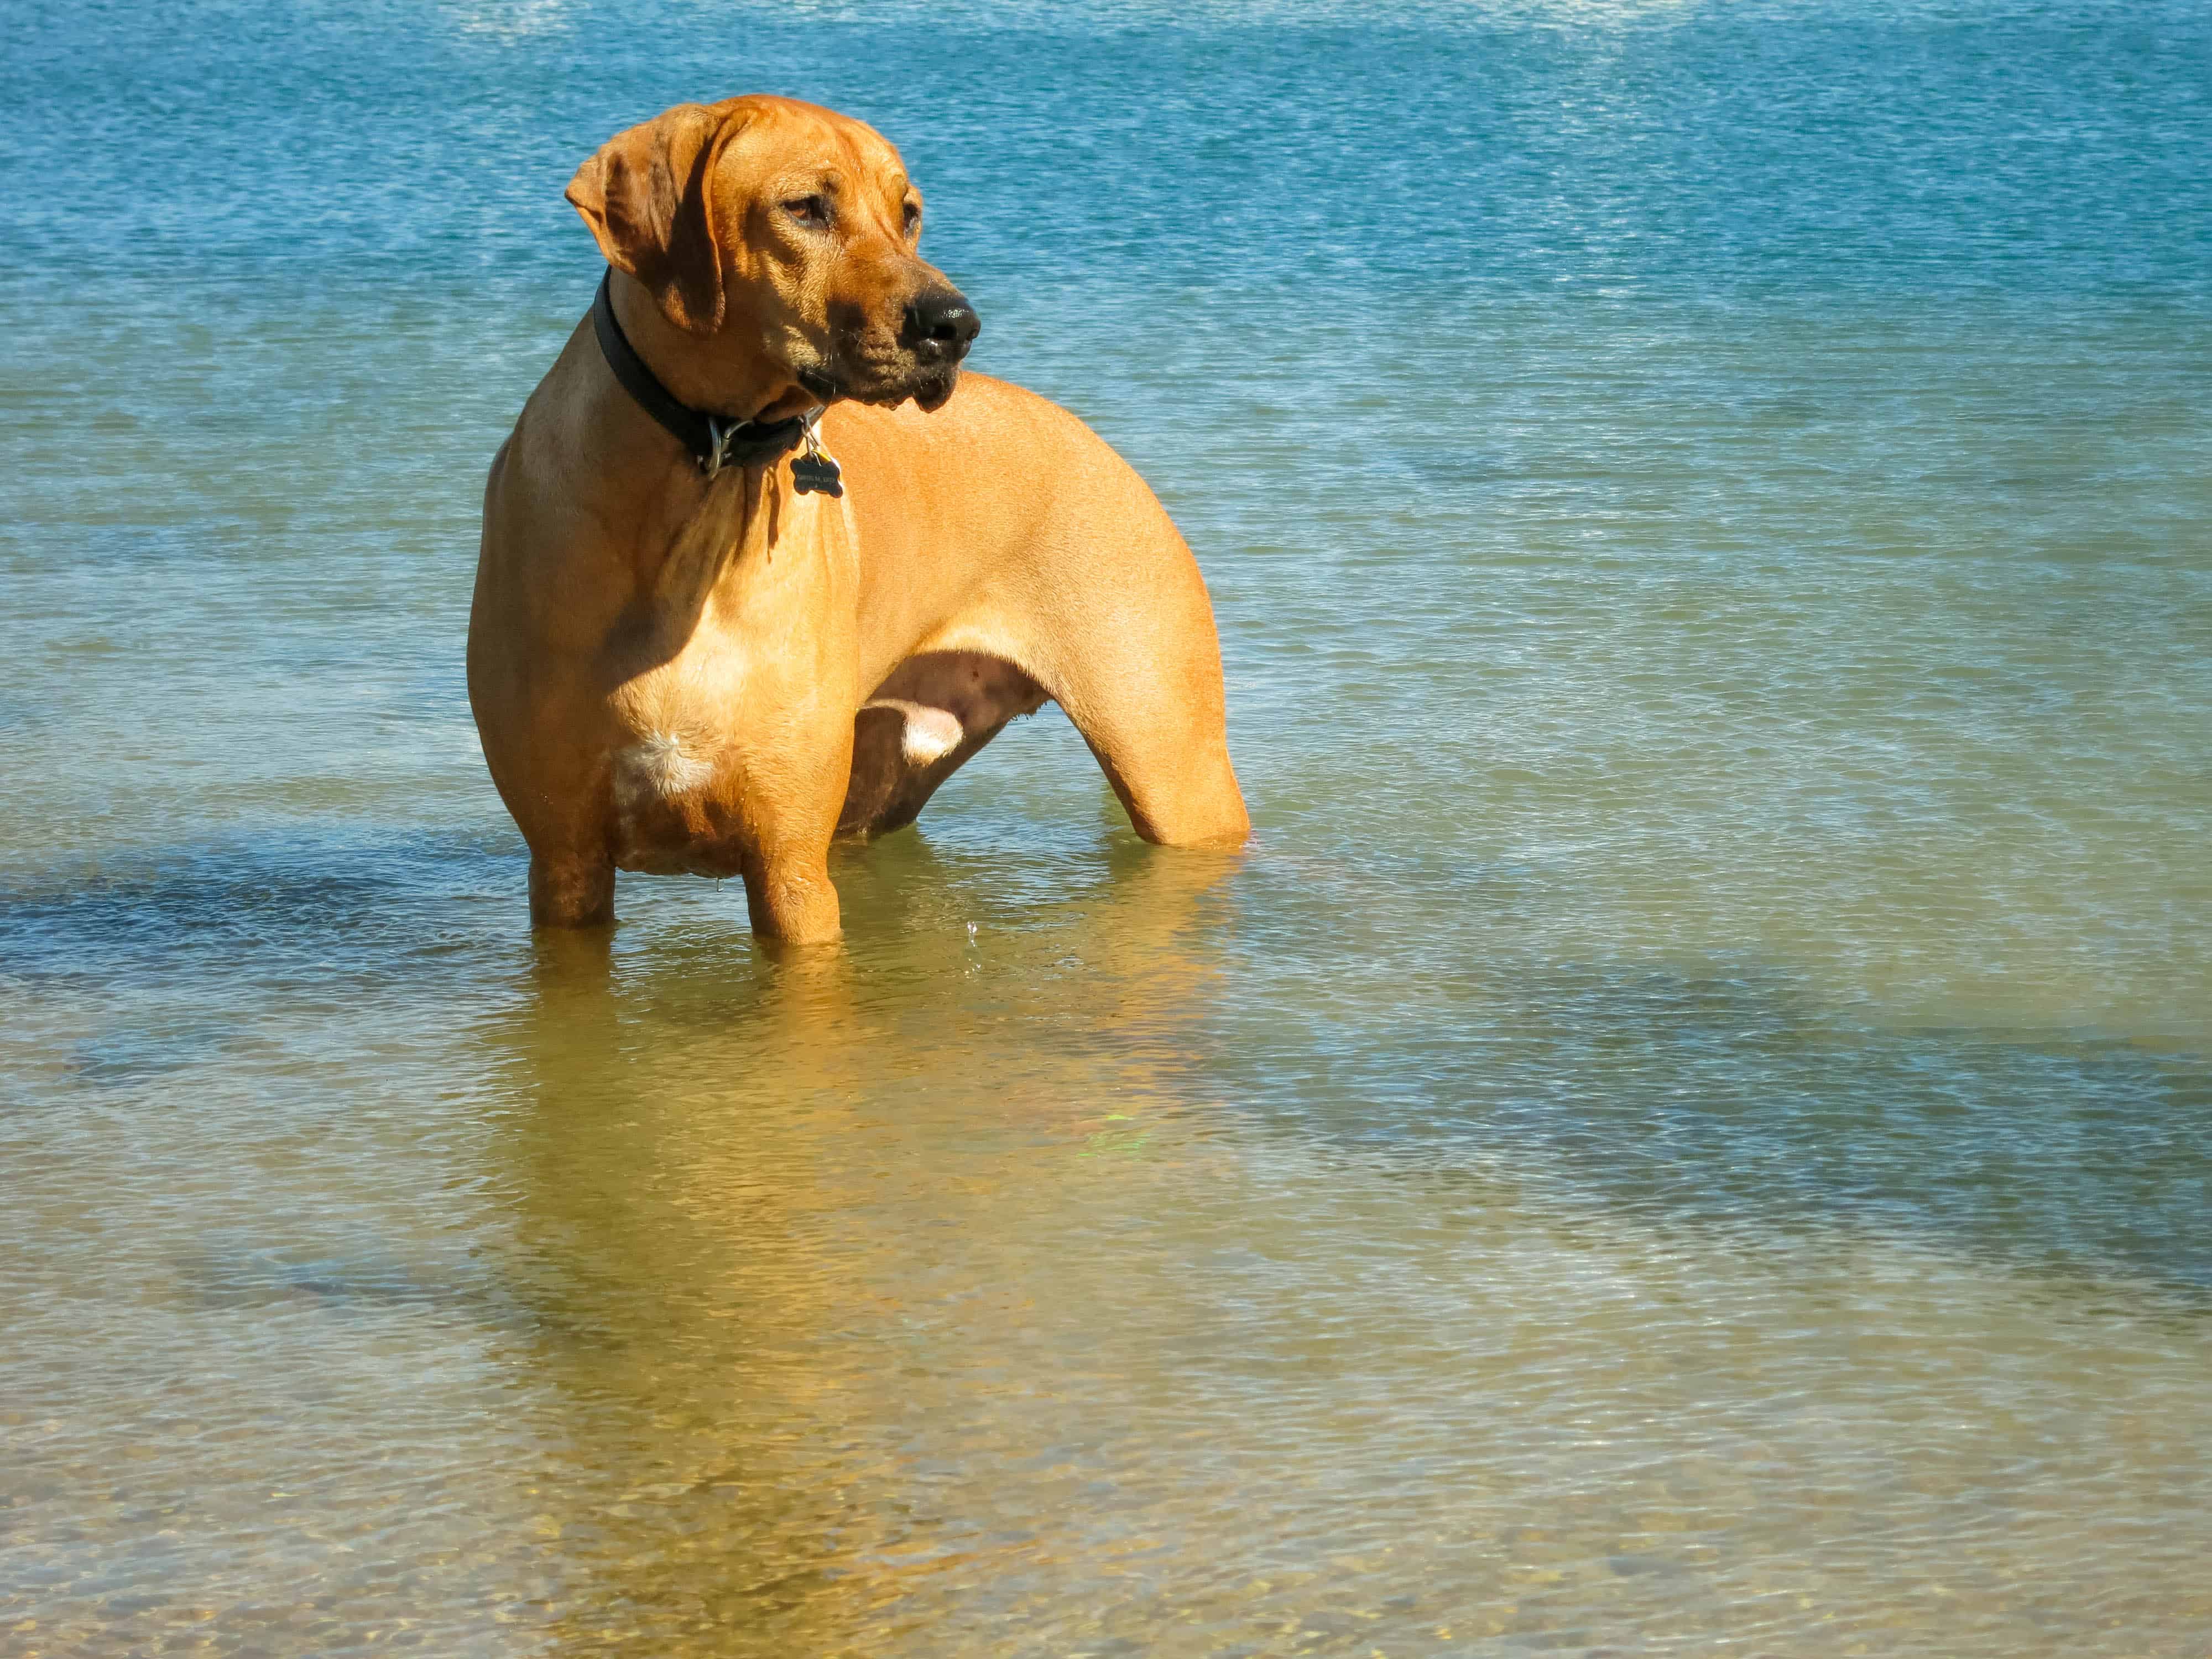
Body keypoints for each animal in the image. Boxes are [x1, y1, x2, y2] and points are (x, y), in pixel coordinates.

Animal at [465, 97, 1248, 942]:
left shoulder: (791, 867)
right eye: (806, 207)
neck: (704, 487)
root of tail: (1104, 448)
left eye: (908, 214)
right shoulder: (566, 861)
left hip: (1173, 765)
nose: (955, 325)